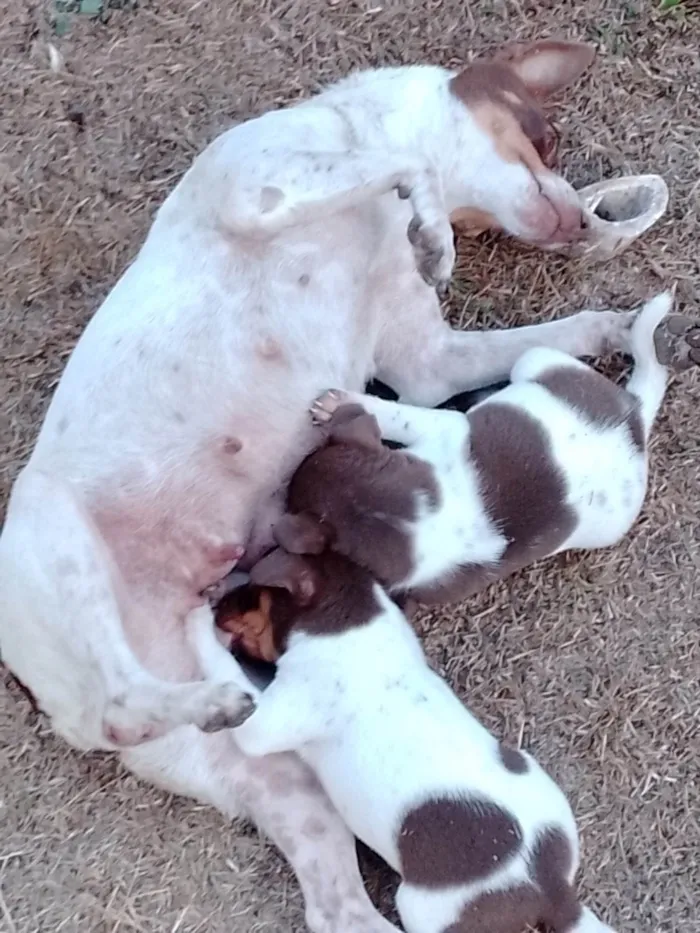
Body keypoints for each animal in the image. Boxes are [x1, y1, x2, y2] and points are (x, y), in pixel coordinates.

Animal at [194, 516, 616, 932]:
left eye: (250, 594)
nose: (215, 597)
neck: (350, 617)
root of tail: (552, 890)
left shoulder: (264, 724)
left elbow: (225, 669)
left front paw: (198, 624)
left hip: (422, 909)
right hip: (533, 774)